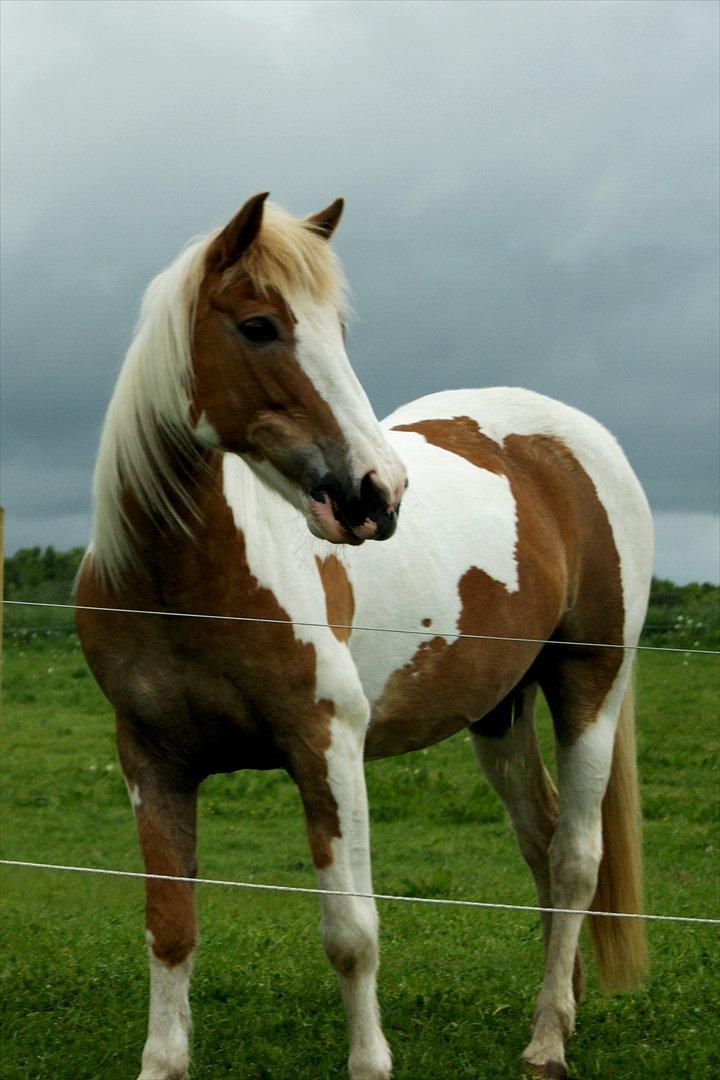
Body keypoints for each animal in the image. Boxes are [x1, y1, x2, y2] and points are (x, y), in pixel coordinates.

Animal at [76, 192, 652, 1080]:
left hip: (591, 682)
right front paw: (161, 1063)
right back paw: (566, 1005)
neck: (184, 585)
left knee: (575, 857)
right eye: (258, 326)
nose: (378, 493)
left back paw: (548, 1039)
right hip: (498, 714)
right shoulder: (152, 760)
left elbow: (352, 934)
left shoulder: (329, 747)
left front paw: (370, 1062)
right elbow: (169, 927)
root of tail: (579, 439)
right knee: (542, 842)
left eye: (337, 329)